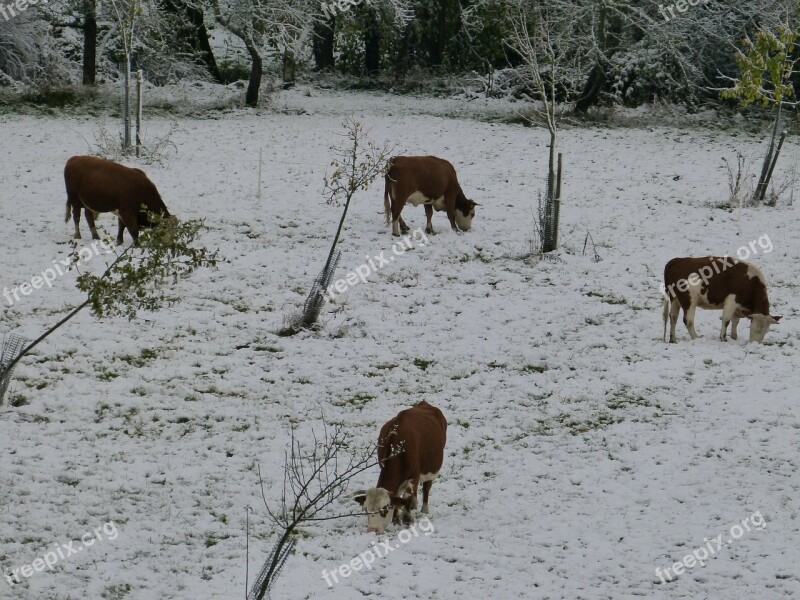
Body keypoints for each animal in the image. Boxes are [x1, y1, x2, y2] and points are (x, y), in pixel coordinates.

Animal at [354, 398, 446, 536]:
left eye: (384, 509)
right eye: (366, 509)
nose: (372, 530)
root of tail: (424, 404)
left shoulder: (414, 476)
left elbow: (408, 498)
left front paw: (408, 520)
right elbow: (397, 497)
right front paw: (396, 520)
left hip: (431, 469)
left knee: (426, 487)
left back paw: (424, 510)